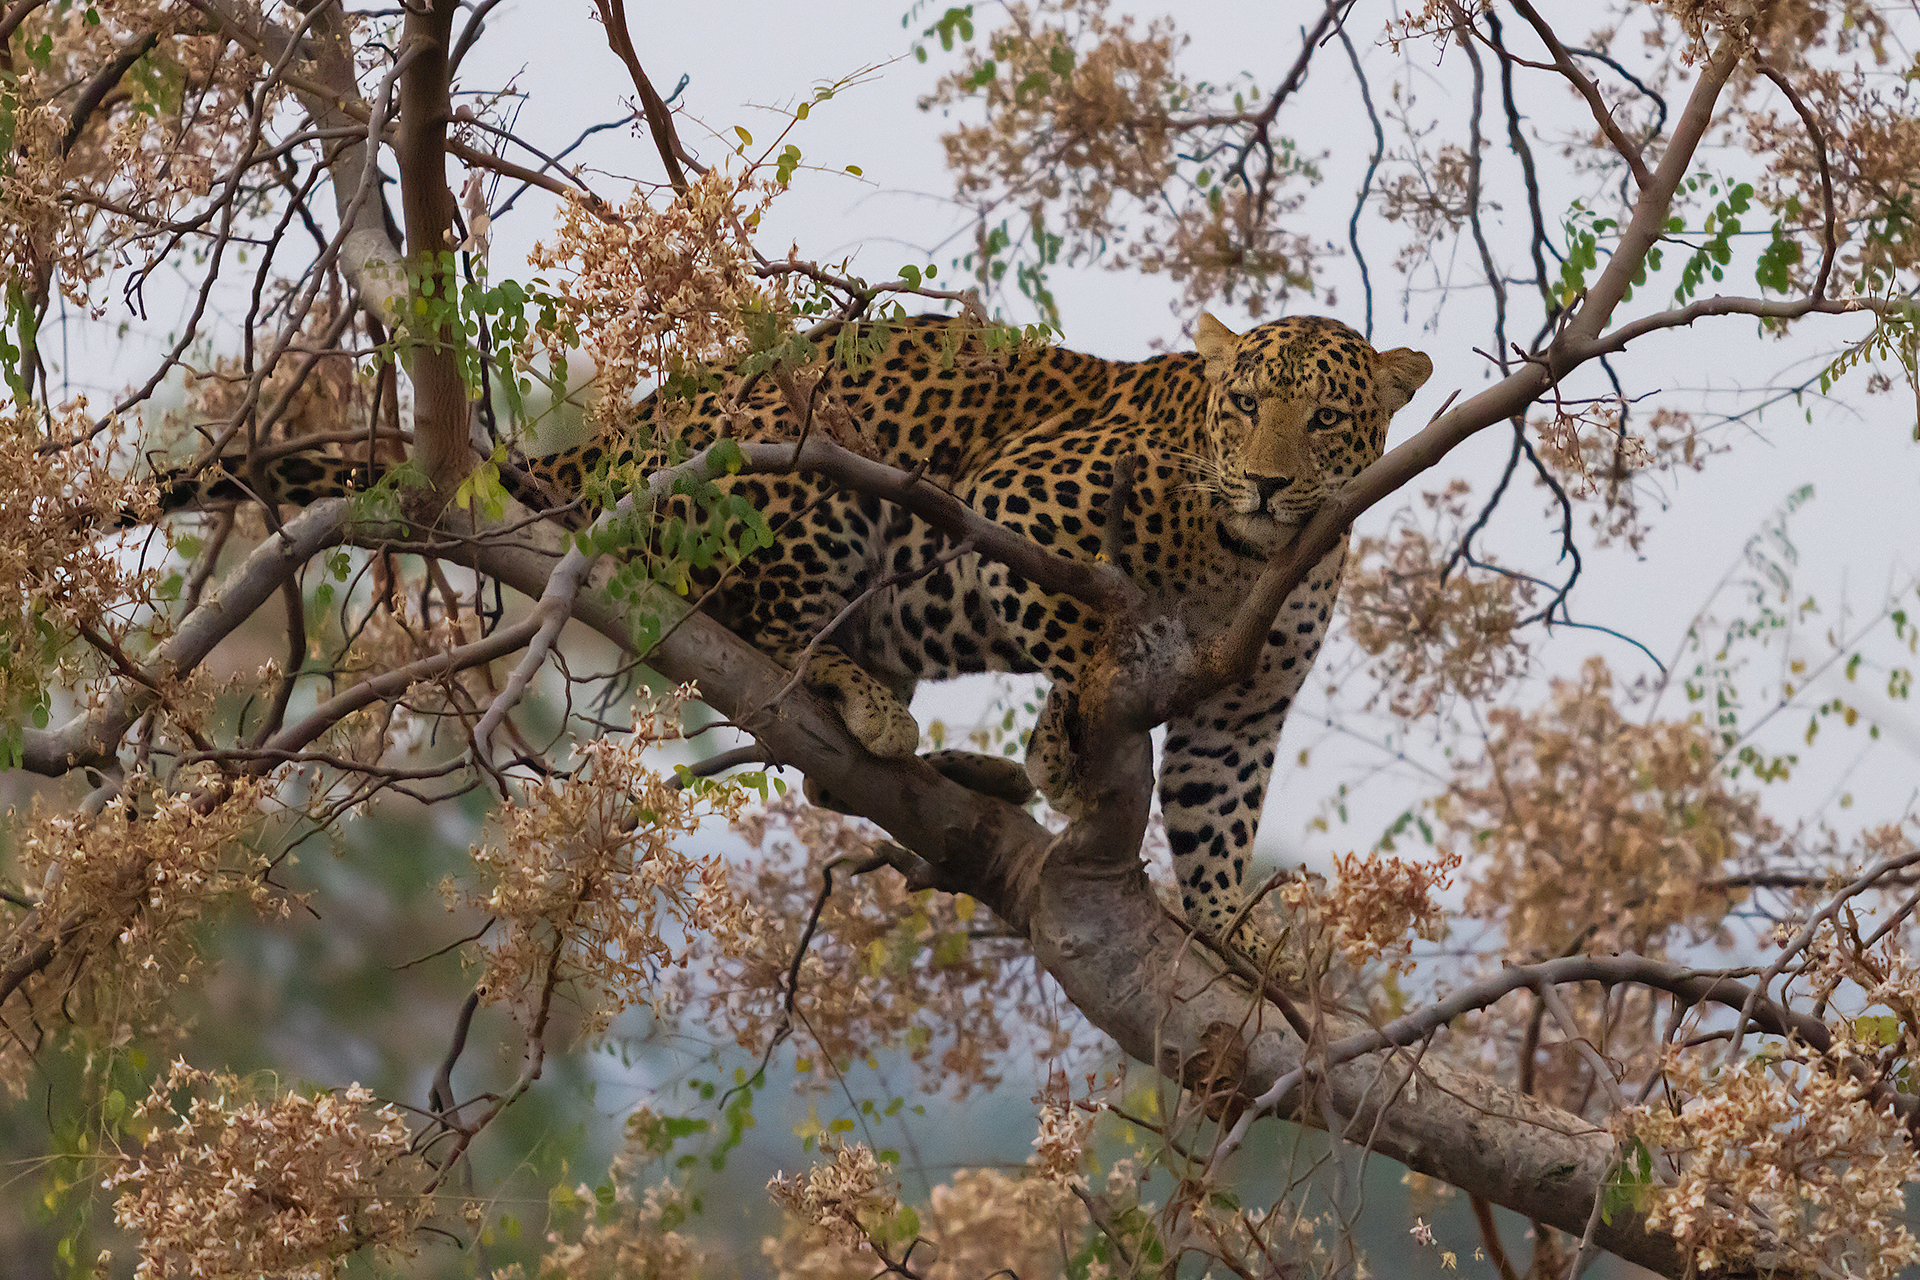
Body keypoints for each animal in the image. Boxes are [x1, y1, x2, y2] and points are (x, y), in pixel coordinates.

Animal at [166, 312, 1431, 938]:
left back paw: (970, 768)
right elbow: (1081, 626)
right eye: (1244, 405)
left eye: (1326, 420)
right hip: (813, 470)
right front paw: (1066, 749)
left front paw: (1235, 937)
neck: (1244, 556)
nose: (1267, 482)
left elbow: (1218, 816)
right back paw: (874, 706)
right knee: (771, 634)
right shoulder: (1011, 506)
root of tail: (611, 437)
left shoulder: (1245, 702)